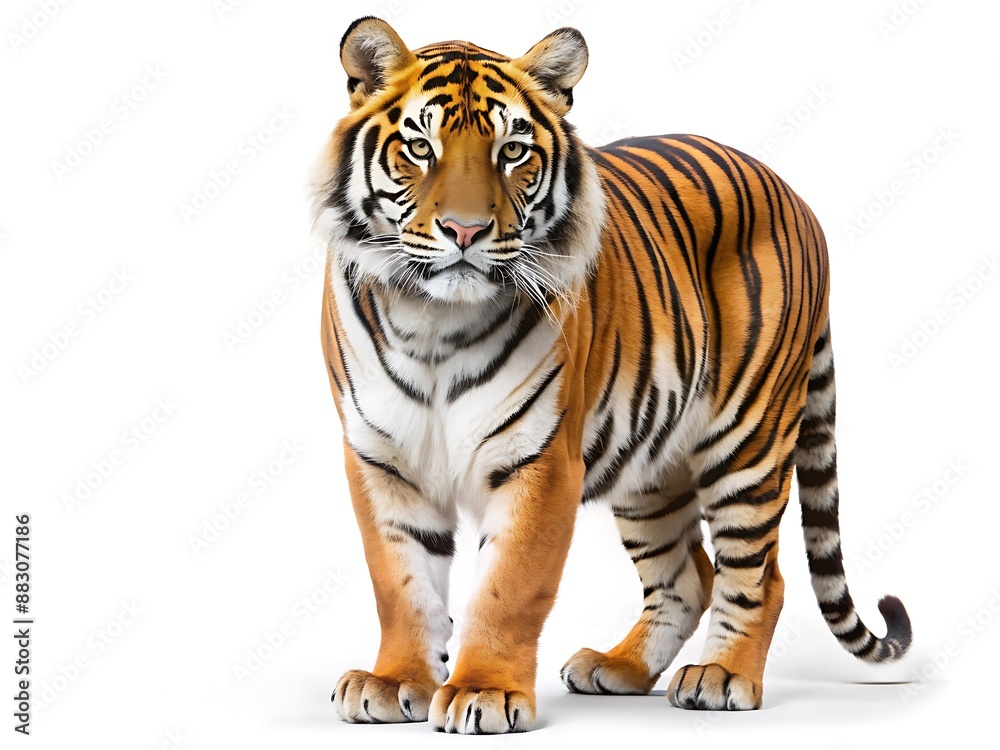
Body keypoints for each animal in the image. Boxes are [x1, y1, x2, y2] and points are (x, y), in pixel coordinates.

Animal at [312, 17, 912, 734]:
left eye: (512, 151)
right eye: (420, 147)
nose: (465, 229)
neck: (433, 321)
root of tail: (798, 198)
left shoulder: (540, 460)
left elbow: (508, 585)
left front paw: (484, 690)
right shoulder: (381, 458)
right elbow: (400, 583)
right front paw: (393, 681)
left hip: (750, 438)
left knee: (760, 576)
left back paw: (721, 676)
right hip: (650, 463)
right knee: (688, 576)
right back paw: (617, 667)